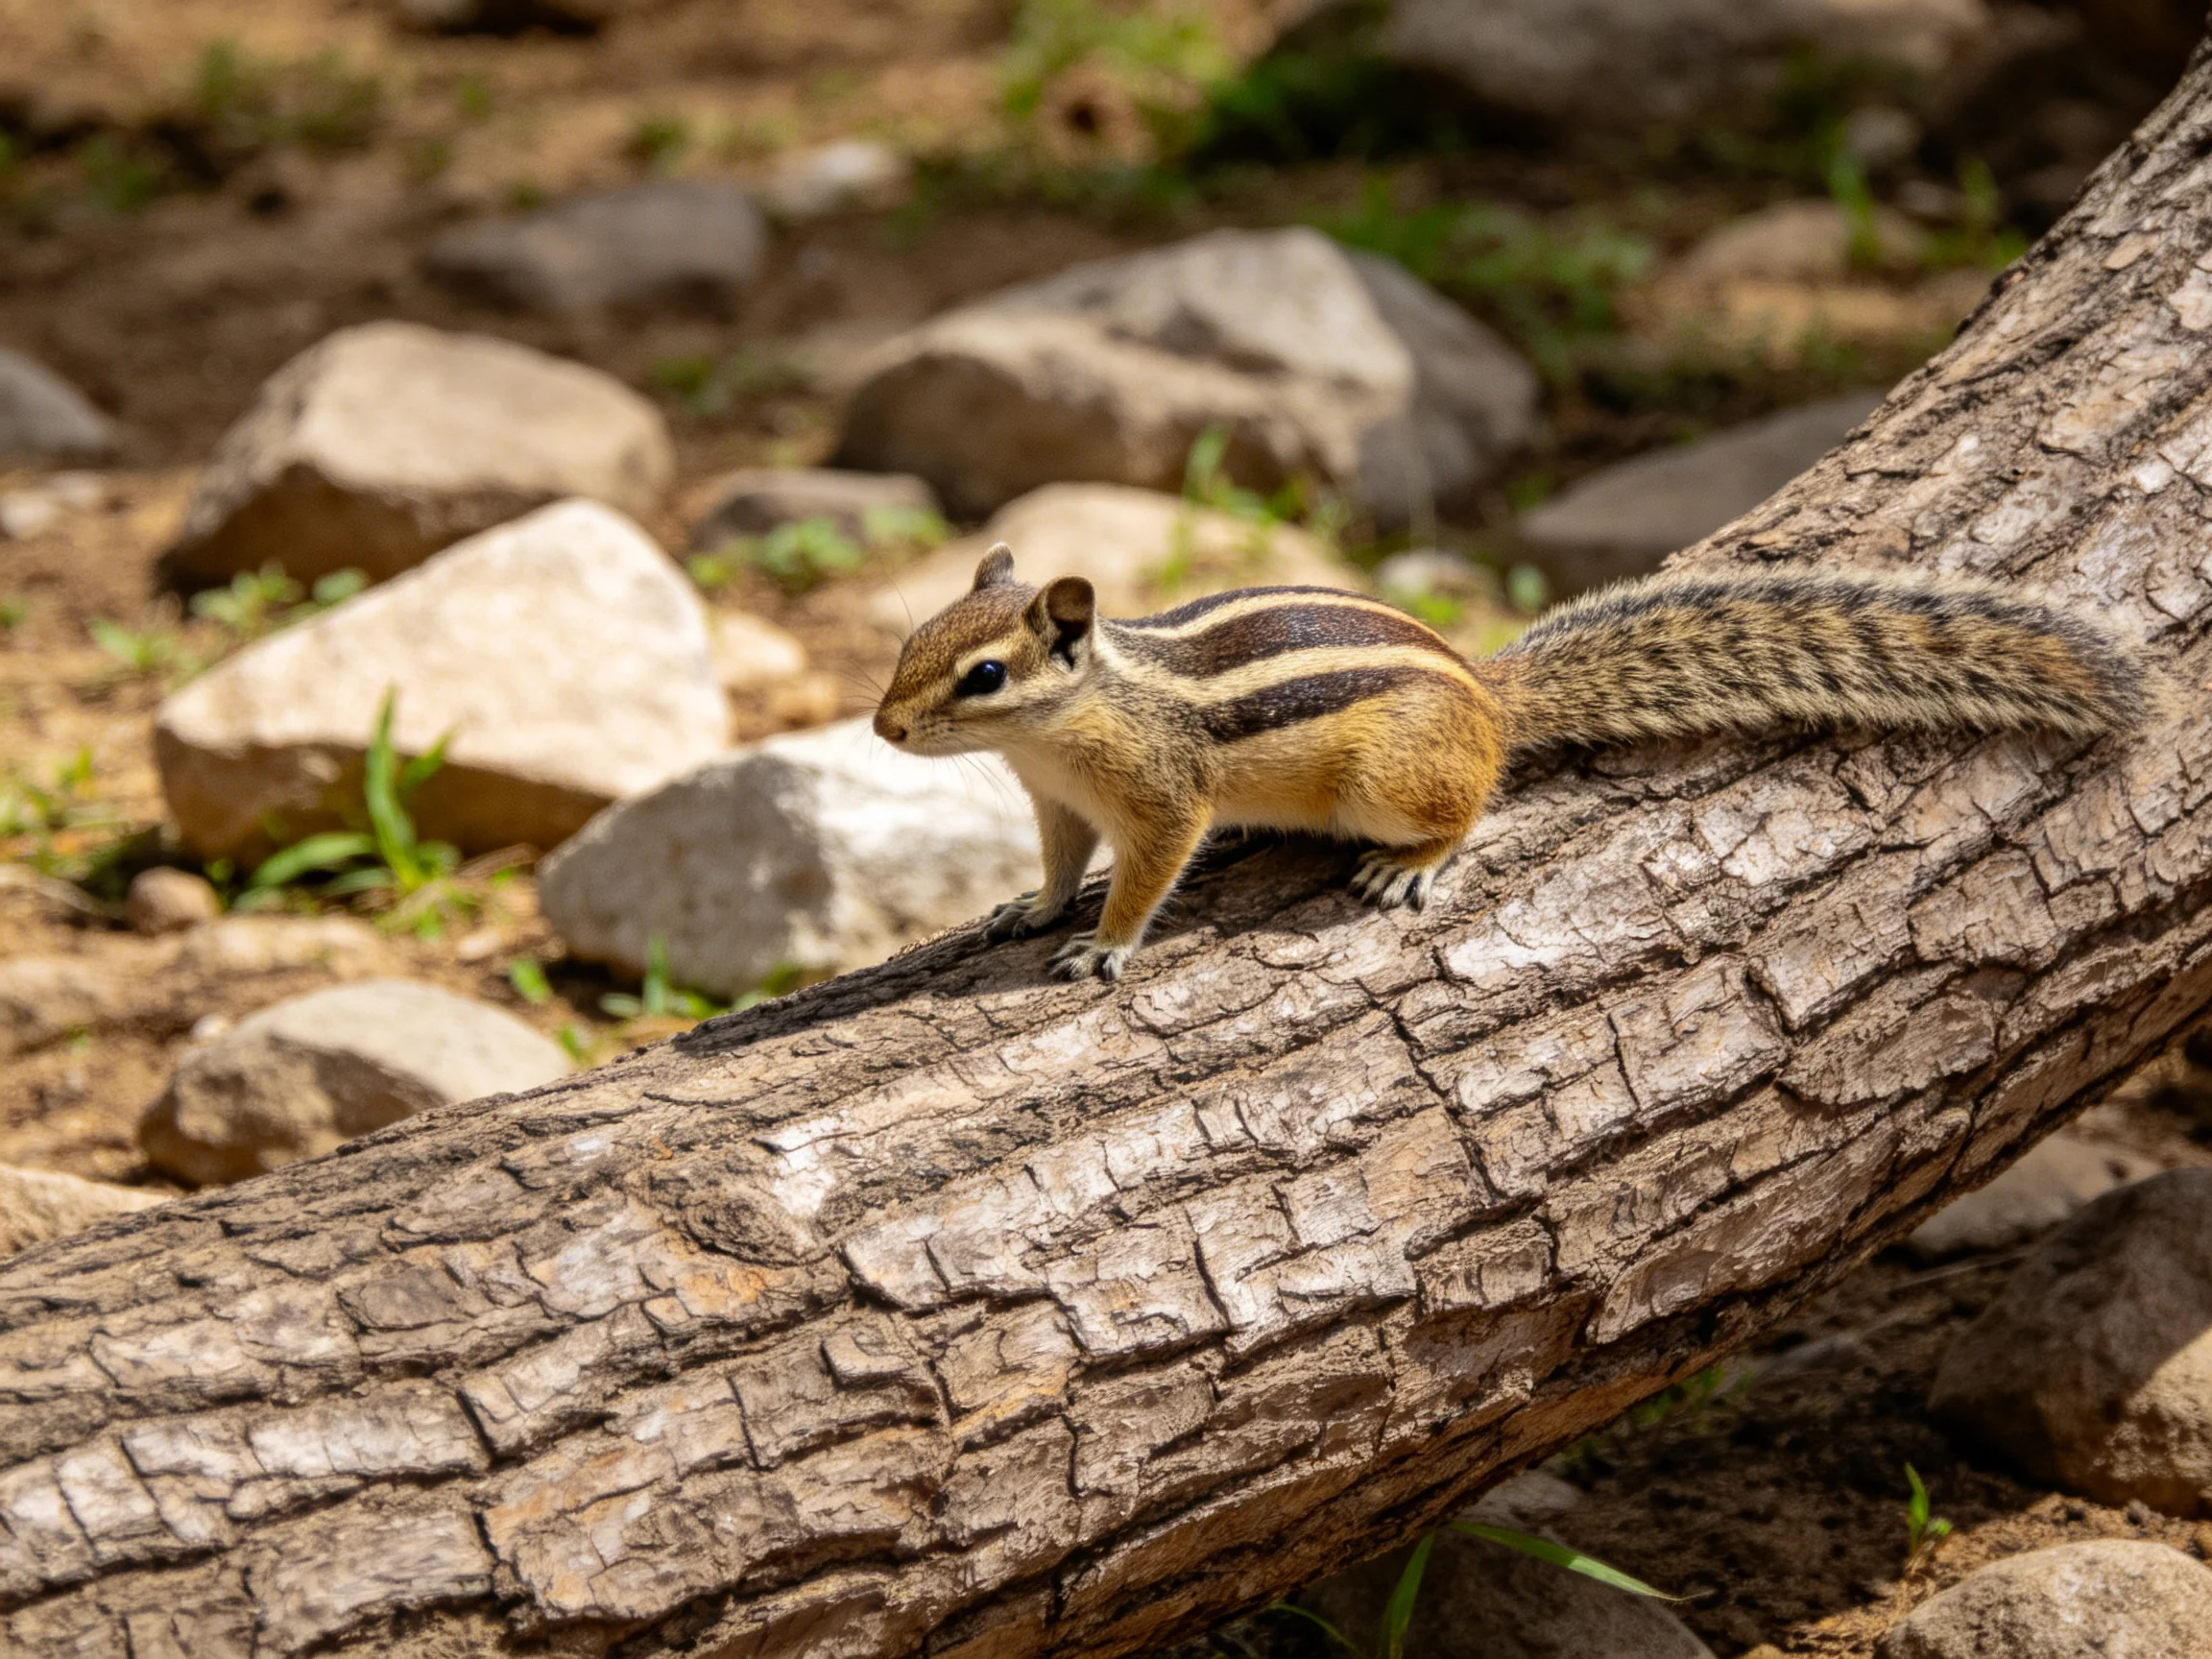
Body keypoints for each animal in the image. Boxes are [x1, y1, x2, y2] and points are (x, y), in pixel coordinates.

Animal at [872, 543, 2150, 982]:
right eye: (908, 642)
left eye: (983, 676)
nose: (883, 731)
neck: (1067, 726)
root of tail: (1487, 698)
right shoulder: (1056, 805)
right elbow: (1055, 865)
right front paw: (1031, 910)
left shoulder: (1159, 798)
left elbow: (1147, 874)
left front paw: (1104, 944)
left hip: (1392, 779)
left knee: (1469, 809)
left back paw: (1410, 866)